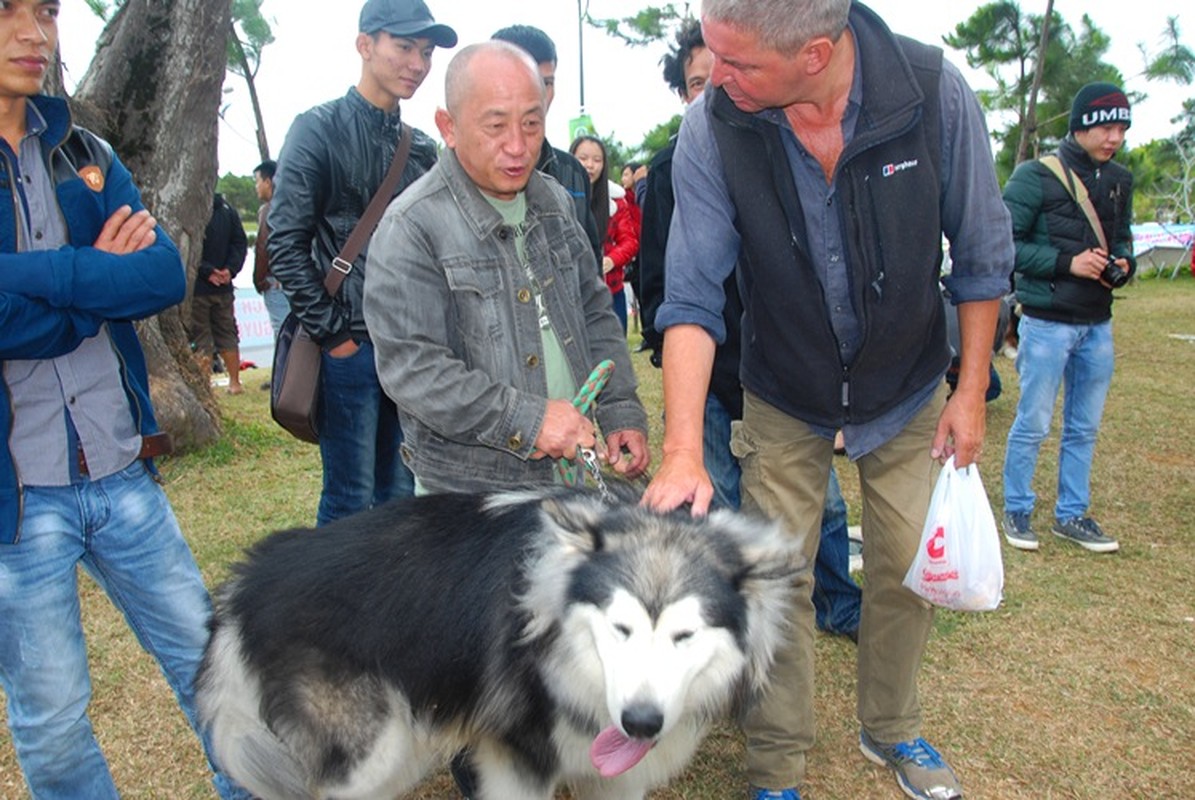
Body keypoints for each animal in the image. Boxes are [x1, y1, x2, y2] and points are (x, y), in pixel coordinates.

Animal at [198, 487, 803, 798]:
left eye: (684, 635)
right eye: (620, 628)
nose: (641, 723)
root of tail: (246, 579)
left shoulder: (615, 772)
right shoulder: (518, 758)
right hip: (369, 749)